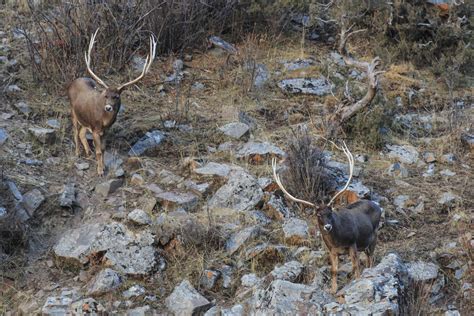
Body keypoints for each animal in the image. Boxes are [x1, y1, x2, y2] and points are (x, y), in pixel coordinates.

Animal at [68, 29, 157, 175]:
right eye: (105, 95)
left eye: (116, 96)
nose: (108, 108)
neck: (104, 120)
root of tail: (74, 81)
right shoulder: (95, 128)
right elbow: (99, 151)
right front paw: (100, 171)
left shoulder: (106, 130)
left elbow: (103, 149)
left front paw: (103, 166)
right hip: (72, 111)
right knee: (75, 132)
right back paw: (77, 153)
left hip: (84, 119)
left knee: (81, 133)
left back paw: (88, 153)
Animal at [272, 141, 380, 294]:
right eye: (318, 214)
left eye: (330, 212)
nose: (328, 226)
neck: (338, 240)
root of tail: (377, 205)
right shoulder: (332, 251)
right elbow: (334, 270)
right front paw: (333, 290)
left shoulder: (352, 243)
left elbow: (355, 266)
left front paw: (357, 282)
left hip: (374, 237)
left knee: (371, 259)